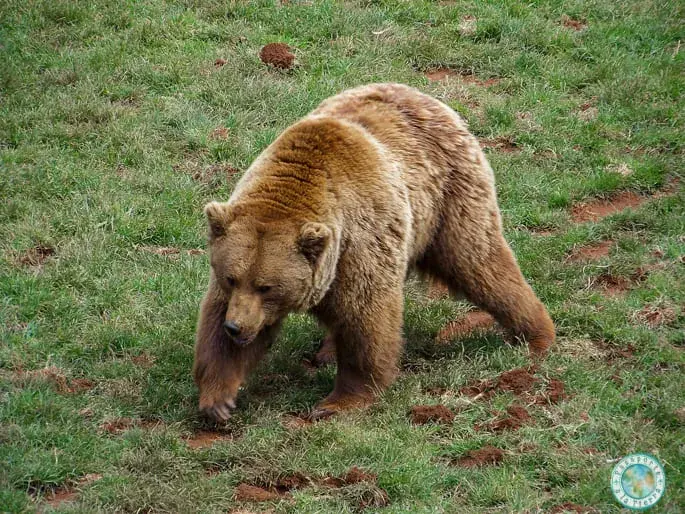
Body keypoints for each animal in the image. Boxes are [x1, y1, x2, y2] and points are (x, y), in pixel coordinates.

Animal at [193, 83, 555, 422]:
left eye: (266, 286)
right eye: (231, 278)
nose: (236, 327)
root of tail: (425, 96)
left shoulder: (359, 243)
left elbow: (366, 318)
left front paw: (337, 402)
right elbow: (215, 320)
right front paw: (218, 399)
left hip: (449, 197)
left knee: (479, 261)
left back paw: (536, 335)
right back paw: (327, 351)